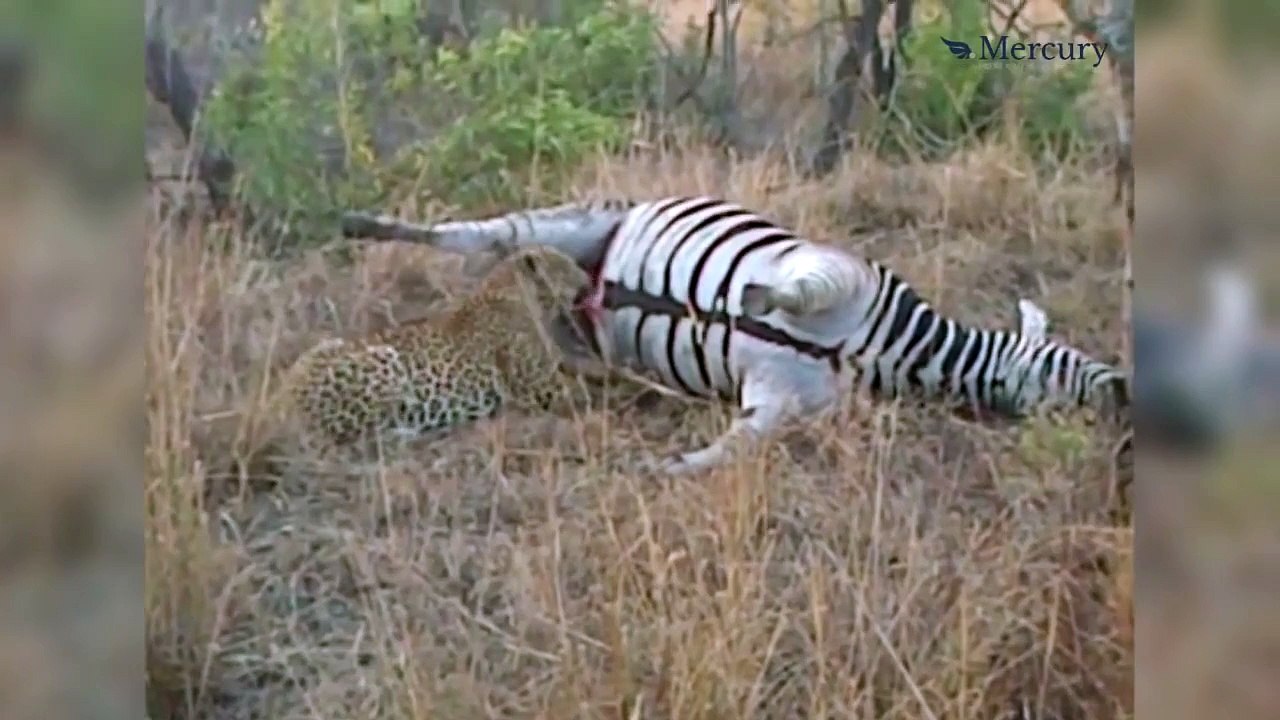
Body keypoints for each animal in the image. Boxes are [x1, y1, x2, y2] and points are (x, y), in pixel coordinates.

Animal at [271, 245, 593, 459]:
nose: (588, 280)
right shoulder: (540, 385)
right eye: (567, 267)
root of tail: (287, 400)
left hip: (326, 347)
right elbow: (588, 390)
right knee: (363, 438)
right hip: (383, 360)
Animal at [341, 195, 1131, 475]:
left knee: (539, 301)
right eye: (1065, 362)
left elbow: (735, 447)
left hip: (571, 314)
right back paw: (360, 223)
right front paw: (746, 296)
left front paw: (667, 467)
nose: (1125, 390)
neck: (873, 349)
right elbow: (791, 289)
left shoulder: (781, 401)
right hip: (568, 220)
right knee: (475, 235)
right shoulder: (836, 271)